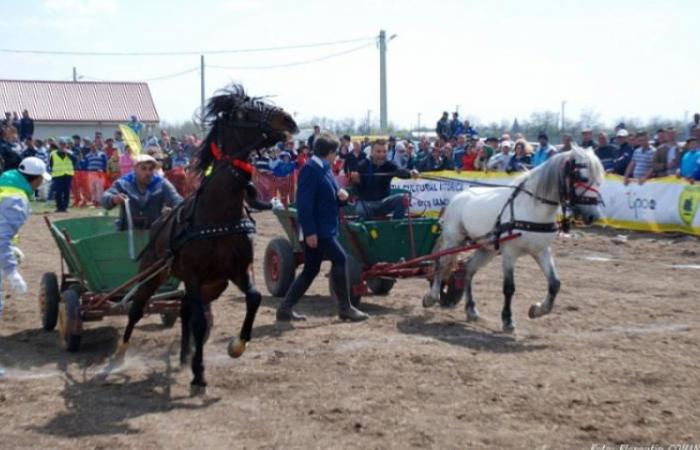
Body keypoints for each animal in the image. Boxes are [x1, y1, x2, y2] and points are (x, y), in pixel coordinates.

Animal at [112, 85, 298, 393]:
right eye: (243, 113)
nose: (288, 119)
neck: (218, 214)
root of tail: (159, 221)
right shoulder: (193, 274)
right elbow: (200, 322)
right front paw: (199, 374)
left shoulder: (238, 270)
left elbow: (255, 298)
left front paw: (236, 346)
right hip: (154, 275)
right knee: (137, 309)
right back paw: (120, 355)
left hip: (214, 285)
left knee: (185, 308)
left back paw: (184, 355)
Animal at [423, 147, 605, 333]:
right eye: (582, 178)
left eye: (599, 181)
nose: (593, 216)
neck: (532, 208)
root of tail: (458, 196)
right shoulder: (510, 253)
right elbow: (509, 288)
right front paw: (508, 320)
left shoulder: (541, 251)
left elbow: (555, 283)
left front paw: (538, 310)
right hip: (453, 239)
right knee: (441, 264)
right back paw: (432, 297)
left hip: (486, 248)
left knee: (468, 270)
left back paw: (471, 310)